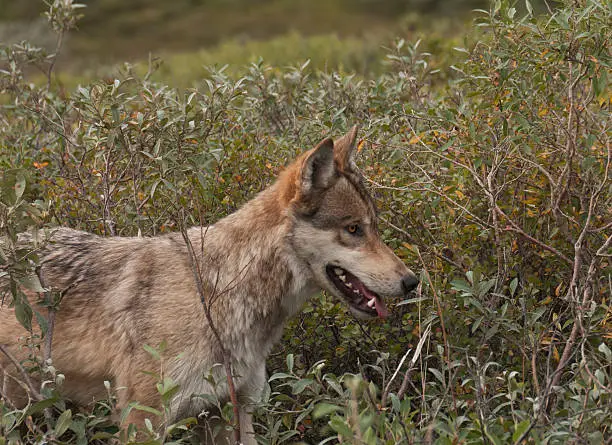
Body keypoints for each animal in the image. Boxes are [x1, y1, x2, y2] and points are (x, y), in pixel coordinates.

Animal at [0, 126, 416, 442]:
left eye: (374, 227)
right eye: (353, 229)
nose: (411, 282)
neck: (223, 291)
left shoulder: (233, 411)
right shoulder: (142, 422)